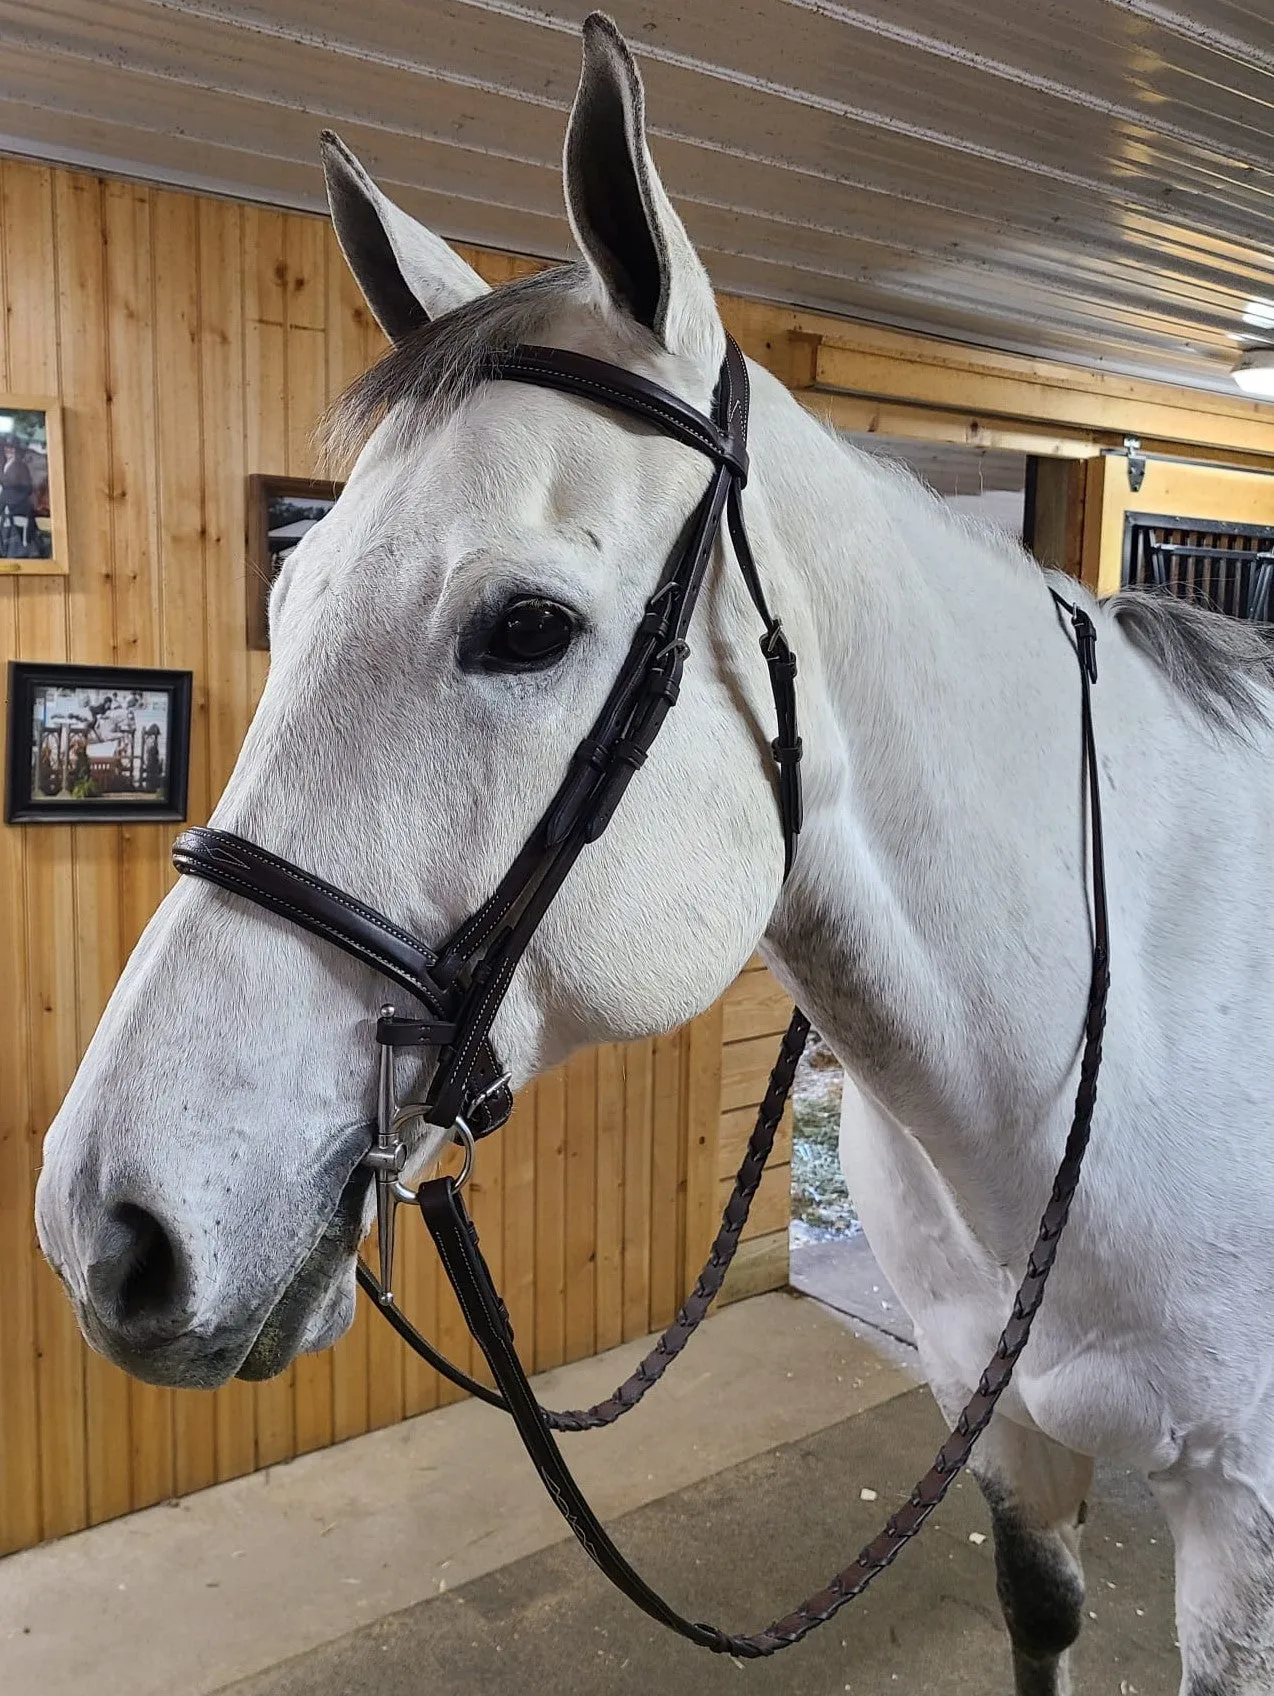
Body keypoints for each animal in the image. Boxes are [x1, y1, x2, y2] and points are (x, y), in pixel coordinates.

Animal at [34, 16, 1274, 1696]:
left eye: (525, 627)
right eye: (286, 599)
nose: (105, 1227)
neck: (1110, 1029)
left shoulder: (1242, 1529)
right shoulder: (1005, 1432)